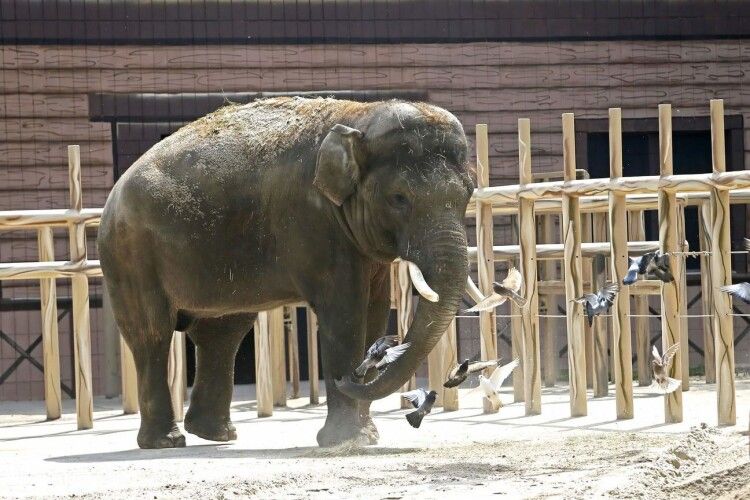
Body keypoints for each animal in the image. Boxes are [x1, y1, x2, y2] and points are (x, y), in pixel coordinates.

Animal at [97, 96, 474, 449]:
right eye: (398, 198)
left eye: (469, 192)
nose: (350, 377)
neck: (359, 116)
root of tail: (114, 193)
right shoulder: (312, 220)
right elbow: (344, 313)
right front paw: (346, 441)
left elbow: (375, 312)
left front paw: (365, 436)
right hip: (130, 254)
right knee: (153, 335)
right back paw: (167, 441)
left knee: (222, 333)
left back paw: (216, 435)